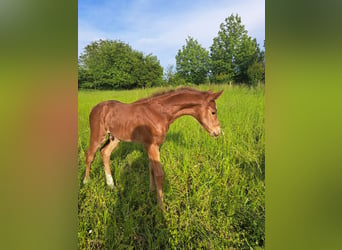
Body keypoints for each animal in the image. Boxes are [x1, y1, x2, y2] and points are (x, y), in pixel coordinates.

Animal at [82, 87, 222, 207]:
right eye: (213, 112)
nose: (217, 132)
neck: (160, 113)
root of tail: (95, 108)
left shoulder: (154, 146)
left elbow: (151, 169)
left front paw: (151, 192)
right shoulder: (152, 145)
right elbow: (159, 174)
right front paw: (161, 207)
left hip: (115, 138)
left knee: (105, 152)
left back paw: (111, 185)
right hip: (97, 135)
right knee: (90, 155)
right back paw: (86, 181)